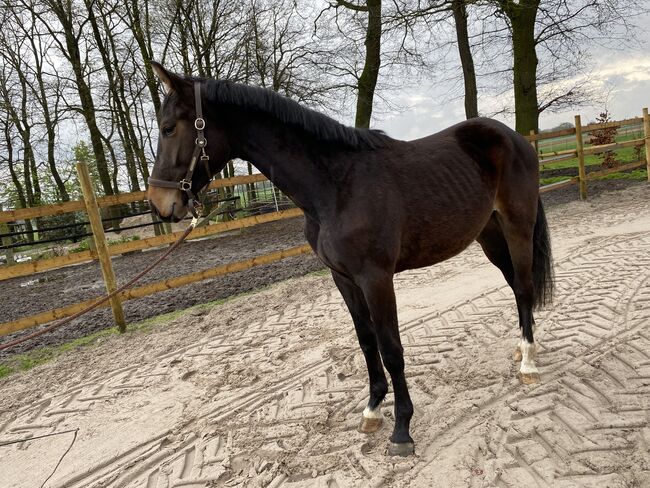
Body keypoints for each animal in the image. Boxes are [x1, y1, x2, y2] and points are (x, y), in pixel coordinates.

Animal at [148, 62, 552, 458]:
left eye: (168, 128)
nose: (159, 204)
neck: (336, 187)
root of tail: (514, 138)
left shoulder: (376, 278)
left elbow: (391, 348)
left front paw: (401, 430)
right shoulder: (343, 278)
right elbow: (366, 340)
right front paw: (372, 410)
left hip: (517, 226)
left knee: (524, 286)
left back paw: (530, 364)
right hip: (489, 234)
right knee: (515, 286)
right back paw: (521, 348)